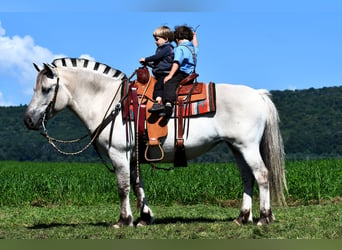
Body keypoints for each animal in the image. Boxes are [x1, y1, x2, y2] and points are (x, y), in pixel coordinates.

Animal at [23, 57, 286, 228]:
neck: (109, 101)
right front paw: (144, 217)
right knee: (247, 177)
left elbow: (123, 187)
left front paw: (123, 221)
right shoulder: (132, 155)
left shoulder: (119, 154)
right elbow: (137, 183)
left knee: (262, 175)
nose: (29, 120)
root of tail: (258, 94)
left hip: (247, 147)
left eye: (46, 89)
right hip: (236, 147)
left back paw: (264, 217)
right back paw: (242, 217)